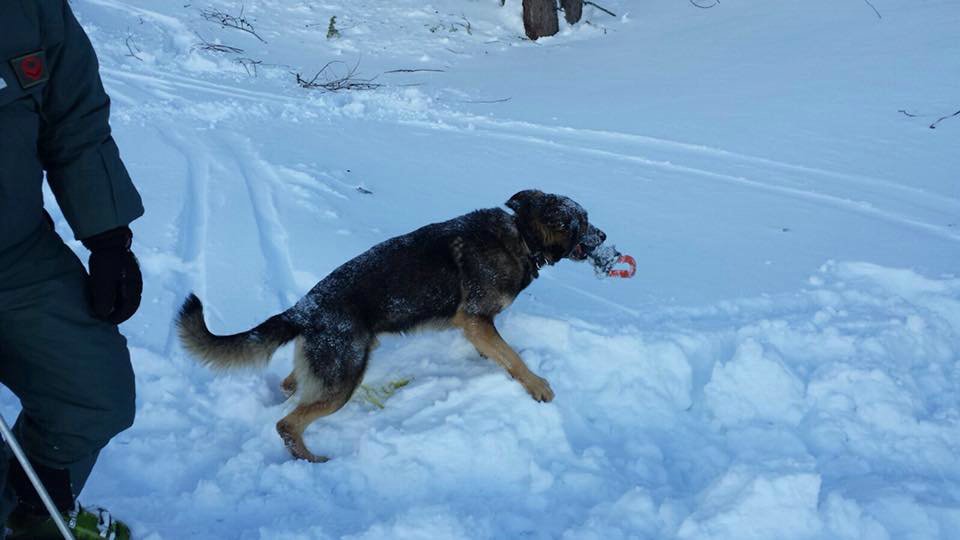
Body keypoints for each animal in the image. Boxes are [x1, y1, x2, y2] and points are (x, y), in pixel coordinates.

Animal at [176, 189, 604, 460]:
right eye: (582, 222)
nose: (604, 236)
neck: (522, 235)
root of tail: (303, 310)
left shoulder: (477, 326)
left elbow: (498, 352)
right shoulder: (475, 318)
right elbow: (512, 355)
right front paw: (536, 385)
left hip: (333, 366)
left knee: (288, 387)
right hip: (344, 381)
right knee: (287, 425)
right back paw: (313, 461)